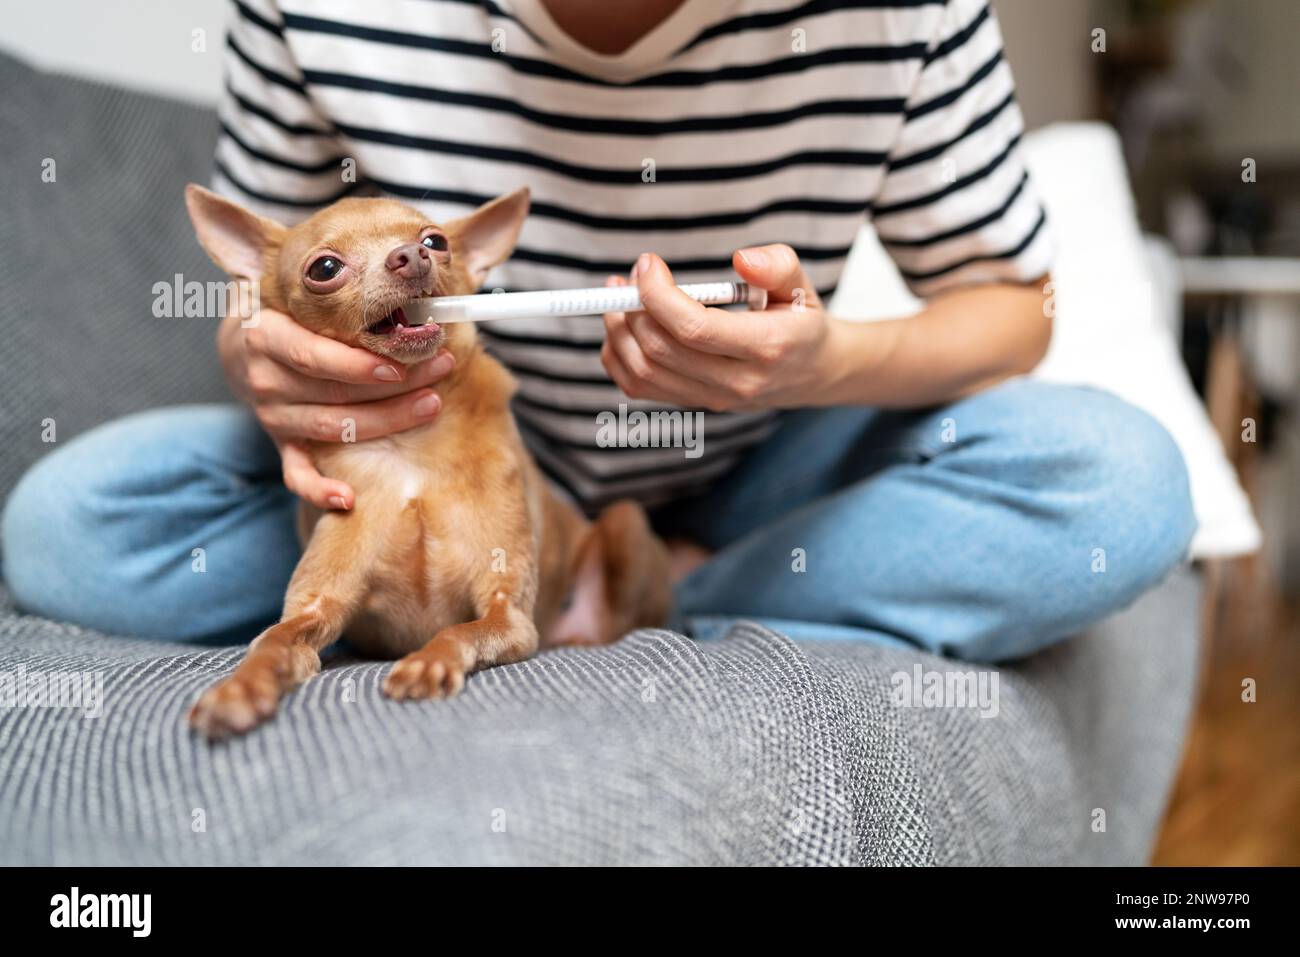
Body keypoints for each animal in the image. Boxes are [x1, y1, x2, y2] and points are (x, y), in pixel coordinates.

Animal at [185, 187, 670, 738]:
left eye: (436, 241)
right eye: (325, 268)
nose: (412, 256)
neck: (410, 449)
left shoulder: (508, 613)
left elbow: (460, 631)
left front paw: (428, 662)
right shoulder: (315, 608)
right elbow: (270, 642)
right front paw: (239, 690)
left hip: (625, 524)